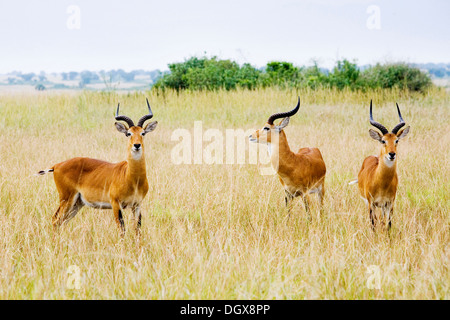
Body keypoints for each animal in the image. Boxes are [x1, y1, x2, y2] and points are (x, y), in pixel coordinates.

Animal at [37, 99, 159, 236]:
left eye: (143, 133)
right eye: (128, 133)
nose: (137, 145)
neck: (132, 178)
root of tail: (56, 166)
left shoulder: (137, 205)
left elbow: (138, 230)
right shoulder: (116, 204)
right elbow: (122, 229)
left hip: (77, 204)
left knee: (61, 222)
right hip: (66, 199)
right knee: (55, 219)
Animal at [352, 101, 412, 229]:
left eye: (396, 140)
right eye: (383, 140)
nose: (392, 154)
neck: (381, 183)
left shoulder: (389, 204)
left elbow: (388, 224)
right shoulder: (371, 203)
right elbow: (373, 224)